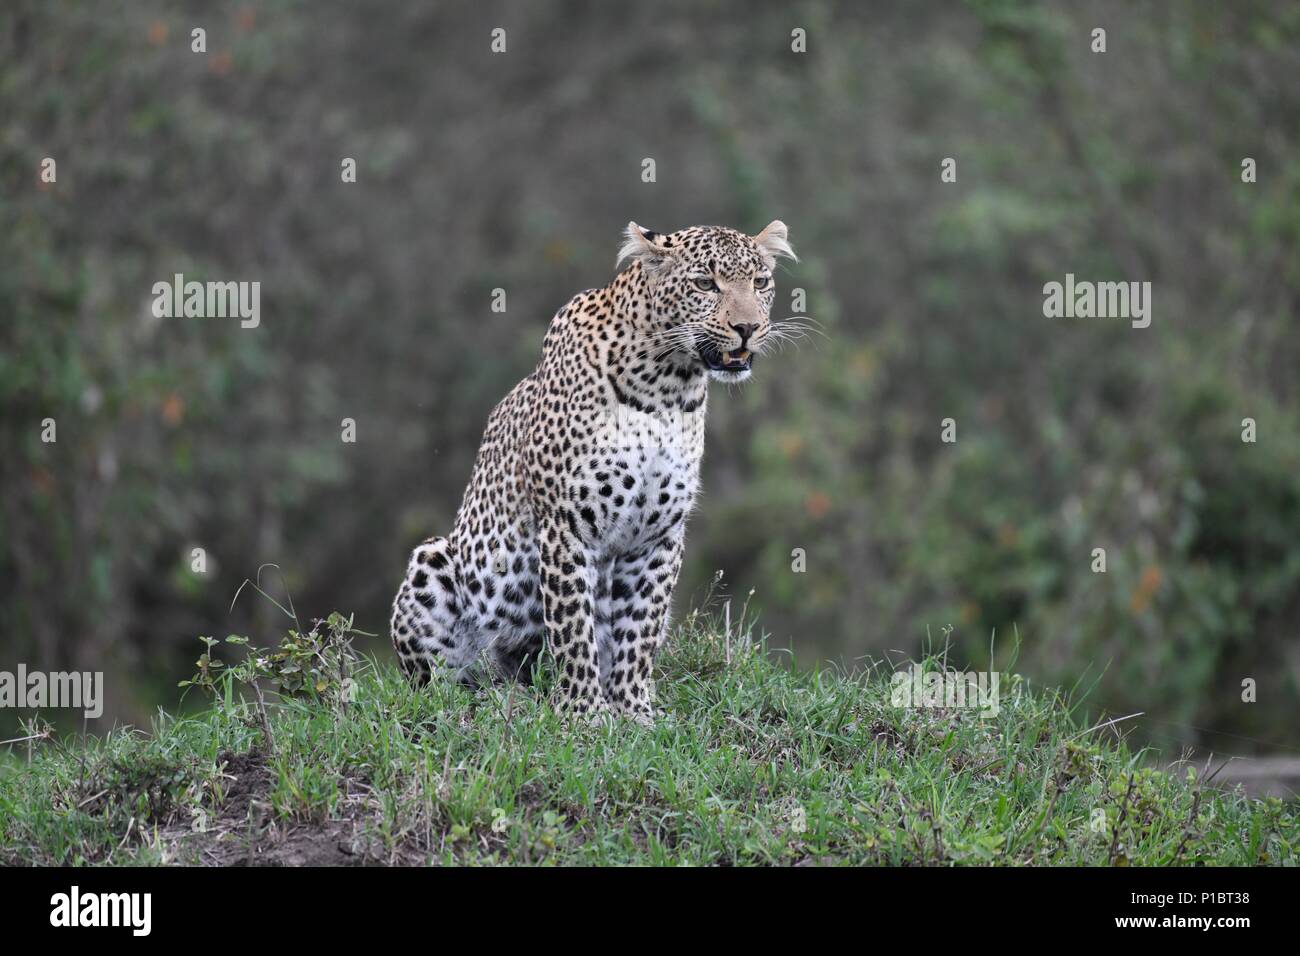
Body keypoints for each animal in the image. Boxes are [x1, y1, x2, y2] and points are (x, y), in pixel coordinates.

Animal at [387, 221, 790, 723]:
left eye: (761, 282)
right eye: (704, 284)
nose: (747, 328)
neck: (668, 388)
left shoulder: (659, 535)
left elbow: (639, 627)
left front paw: (634, 711)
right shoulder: (567, 526)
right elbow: (573, 626)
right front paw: (584, 713)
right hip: (434, 562)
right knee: (440, 684)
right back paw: (496, 698)